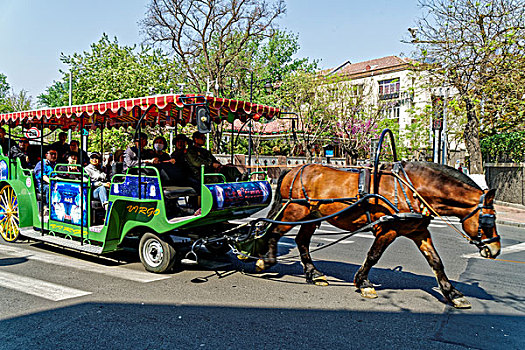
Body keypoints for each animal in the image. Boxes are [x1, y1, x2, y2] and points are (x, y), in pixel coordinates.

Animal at [256, 162, 502, 308]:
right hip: (295, 211)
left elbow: (436, 262)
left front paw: (453, 293)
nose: (495, 249)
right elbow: (373, 256)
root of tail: (294, 169)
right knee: (274, 231)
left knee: (301, 241)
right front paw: (363, 283)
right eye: (489, 220)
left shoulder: (419, 231)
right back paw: (266, 260)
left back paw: (314, 273)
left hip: (311, 216)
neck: (413, 189)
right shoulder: (388, 230)